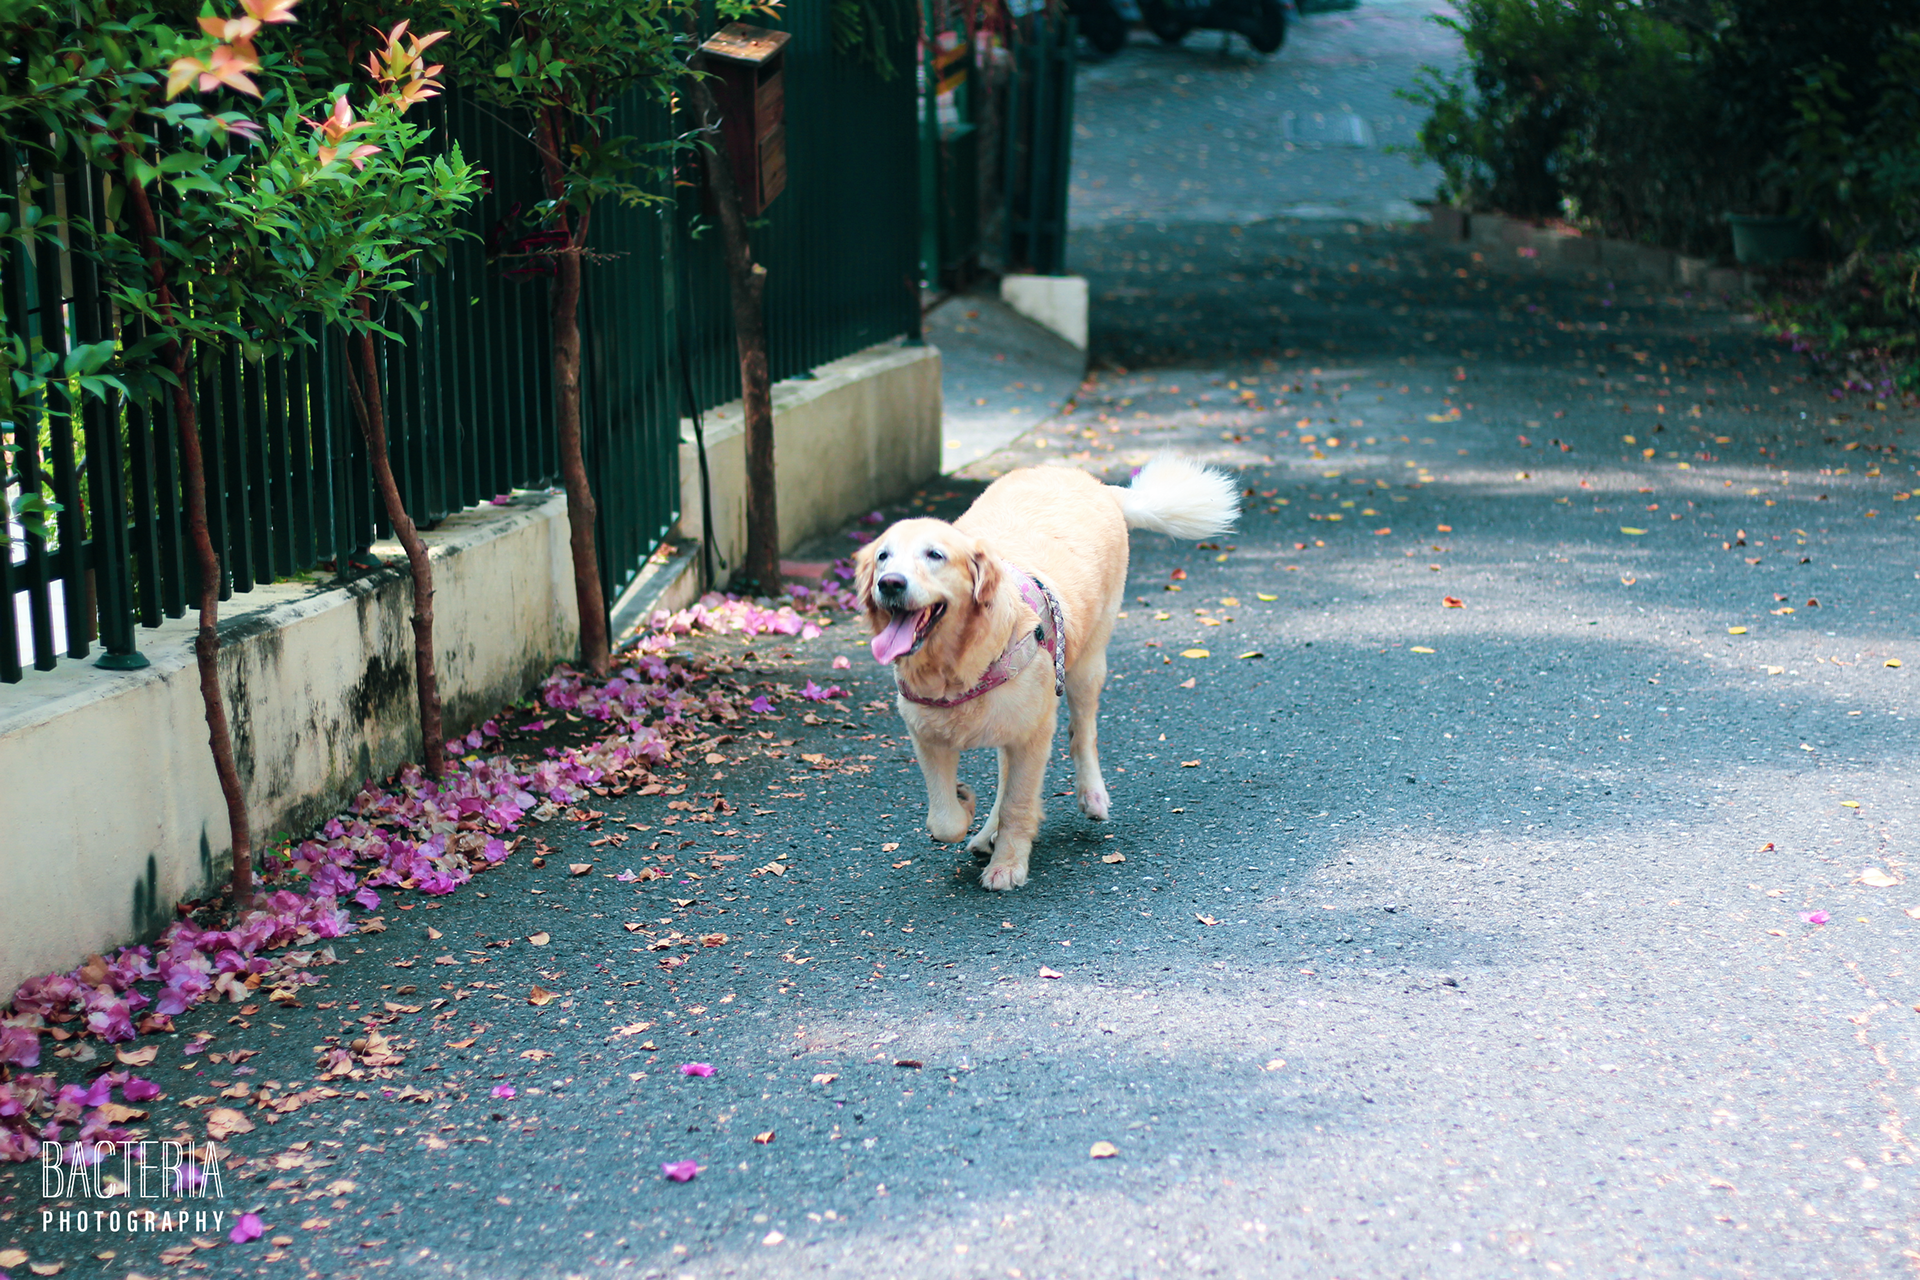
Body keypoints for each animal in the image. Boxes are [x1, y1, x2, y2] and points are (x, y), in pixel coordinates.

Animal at [853, 455, 1239, 889]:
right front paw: (965, 804)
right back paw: (986, 833)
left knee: (1082, 733)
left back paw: (1091, 796)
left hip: (1087, 665)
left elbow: (1018, 804)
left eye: (935, 555)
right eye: (883, 557)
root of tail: (1096, 485)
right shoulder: (928, 736)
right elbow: (944, 820)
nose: (890, 584)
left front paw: (1008, 865)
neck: (957, 667)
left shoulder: (1034, 734)